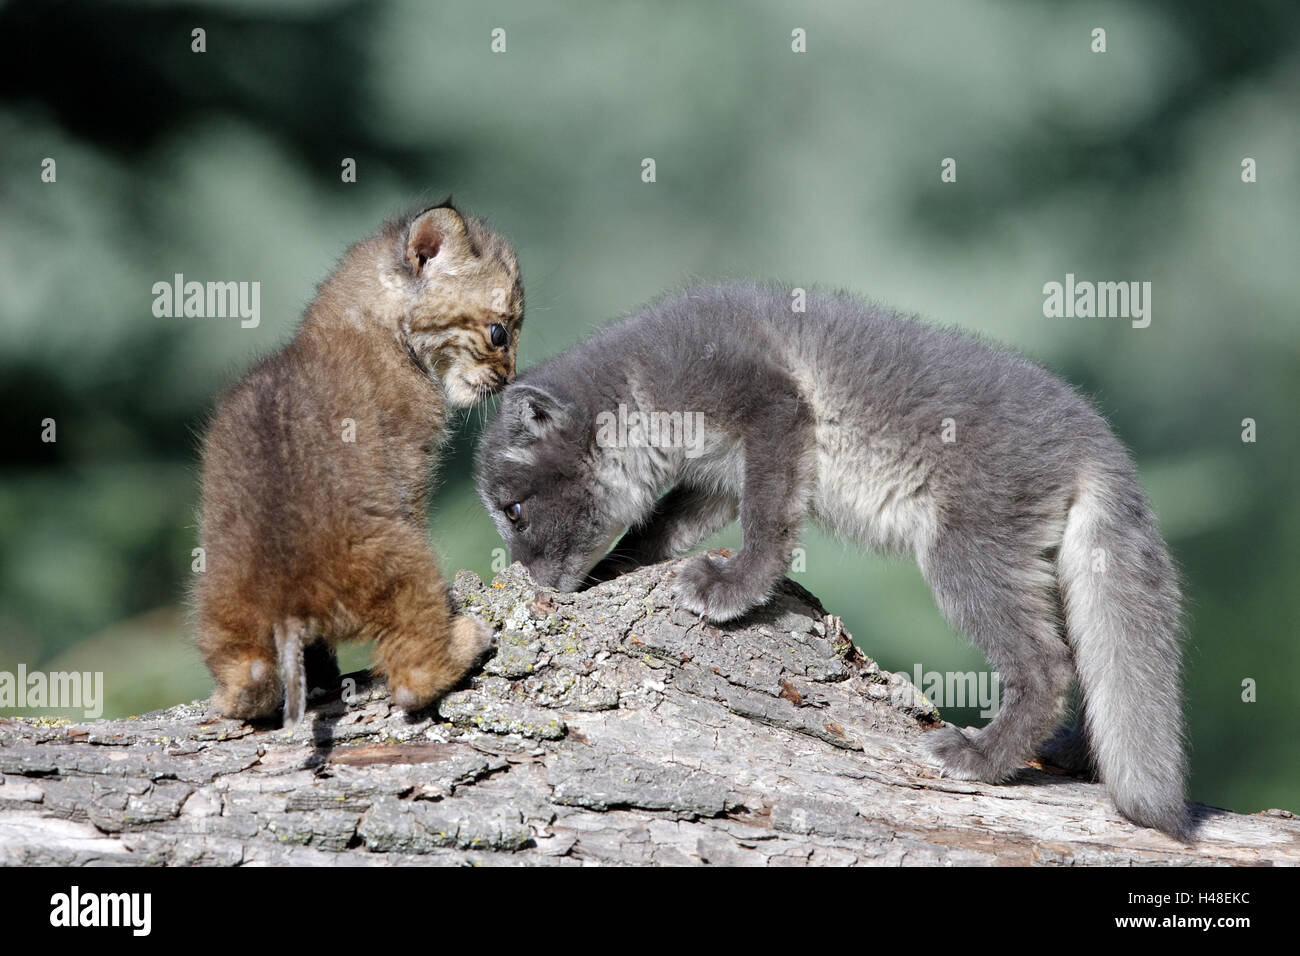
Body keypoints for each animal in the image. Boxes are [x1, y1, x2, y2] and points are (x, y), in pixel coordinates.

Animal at [195, 201, 520, 723]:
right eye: (499, 333)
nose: (510, 378)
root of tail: (285, 591)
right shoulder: (409, 468)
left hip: (214, 593)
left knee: (250, 683)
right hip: (403, 559)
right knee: (411, 680)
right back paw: (467, 642)